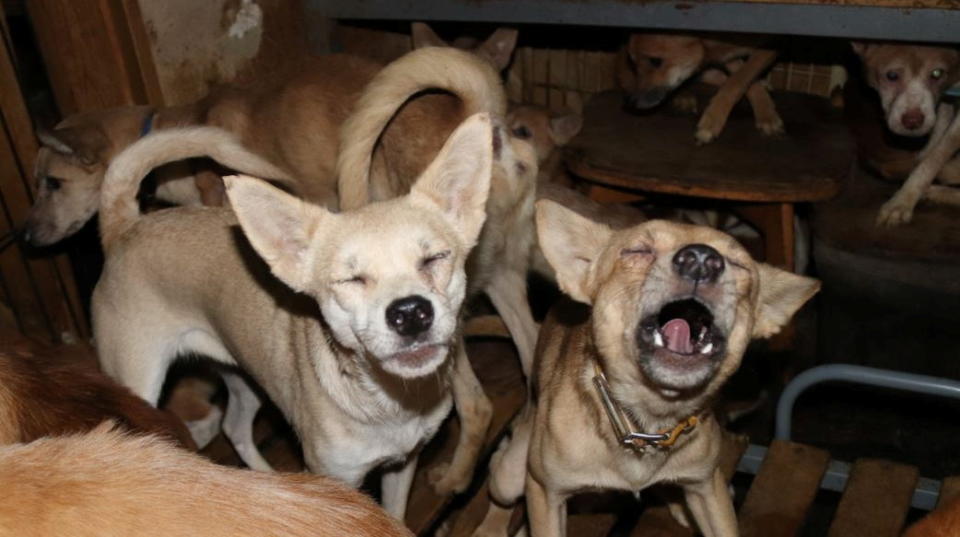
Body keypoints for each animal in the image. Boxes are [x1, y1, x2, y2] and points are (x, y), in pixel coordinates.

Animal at [94, 115, 498, 516]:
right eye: (350, 279)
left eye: (435, 258)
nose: (410, 312)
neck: (387, 402)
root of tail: (125, 227)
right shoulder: (338, 482)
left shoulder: (403, 465)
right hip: (138, 384)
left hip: (243, 376)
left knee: (235, 427)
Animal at [472, 201, 816, 536]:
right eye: (636, 251)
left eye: (741, 265)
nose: (701, 260)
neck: (648, 422)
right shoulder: (546, 493)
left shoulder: (708, 488)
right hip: (509, 477)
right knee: (499, 481)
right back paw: (492, 527)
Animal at [620, 32, 784, 143]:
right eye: (633, 62)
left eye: (655, 61)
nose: (629, 102)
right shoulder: (725, 55)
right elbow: (740, 78)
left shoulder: (771, 47)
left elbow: (738, 80)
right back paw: (683, 97)